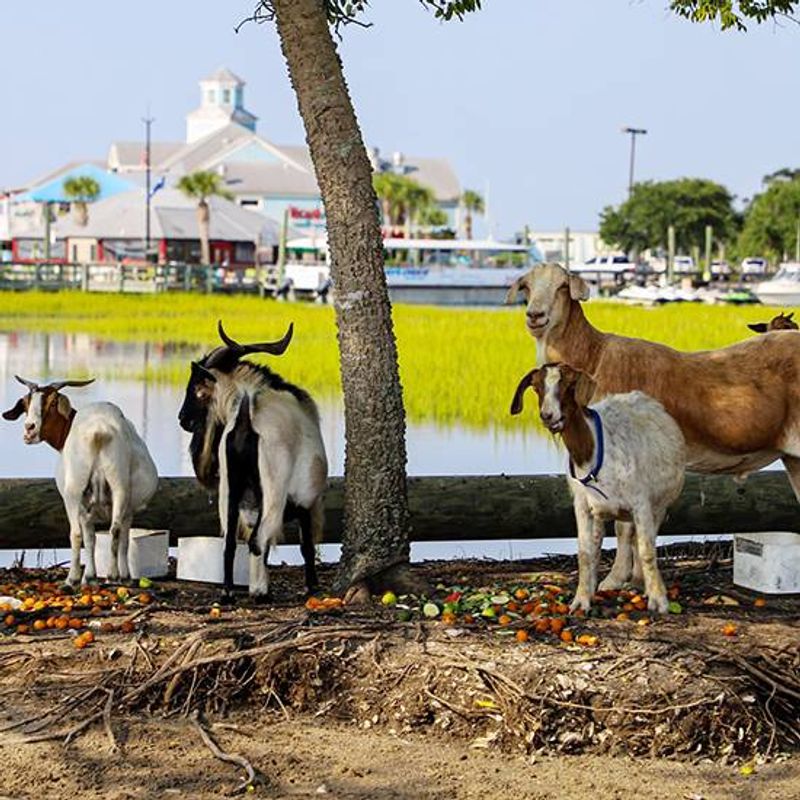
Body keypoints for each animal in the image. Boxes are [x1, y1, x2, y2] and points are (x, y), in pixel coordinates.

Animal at [3, 376, 158, 586]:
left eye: (53, 403)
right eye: (26, 403)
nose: (29, 429)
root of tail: (99, 432)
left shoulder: (88, 509)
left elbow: (90, 538)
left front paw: (89, 576)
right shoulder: (126, 509)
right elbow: (118, 538)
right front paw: (119, 576)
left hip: (73, 489)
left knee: (76, 533)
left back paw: (72, 579)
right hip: (119, 485)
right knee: (115, 529)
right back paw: (112, 575)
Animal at [178, 322, 327, 601]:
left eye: (195, 388)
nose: (182, 419)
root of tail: (247, 417)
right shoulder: (304, 500)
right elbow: (306, 546)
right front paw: (312, 586)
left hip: (231, 490)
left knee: (230, 543)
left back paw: (228, 592)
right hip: (273, 492)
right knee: (257, 540)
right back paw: (259, 592)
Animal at [510, 363, 685, 613]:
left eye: (569, 385)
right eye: (536, 387)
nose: (548, 416)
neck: (591, 454)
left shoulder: (641, 502)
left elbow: (647, 550)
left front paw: (659, 600)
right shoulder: (582, 506)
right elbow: (585, 553)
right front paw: (581, 601)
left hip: (658, 504)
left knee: (640, 538)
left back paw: (639, 581)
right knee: (617, 536)